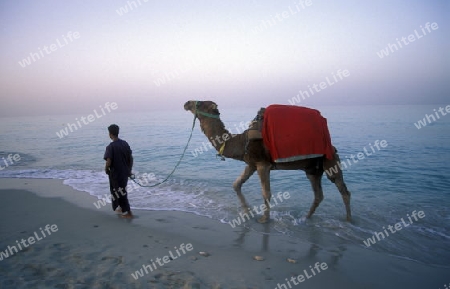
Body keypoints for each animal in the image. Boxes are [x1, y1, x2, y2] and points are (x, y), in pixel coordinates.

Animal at [183, 100, 352, 222]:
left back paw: (348, 220)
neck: (241, 141)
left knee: (343, 190)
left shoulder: (262, 164)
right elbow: (236, 185)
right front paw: (248, 212)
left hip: (330, 162)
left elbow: (266, 193)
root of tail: (332, 146)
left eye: (199, 103)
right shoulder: (251, 164)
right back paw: (306, 218)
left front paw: (264, 219)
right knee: (318, 195)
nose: (186, 103)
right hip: (312, 170)